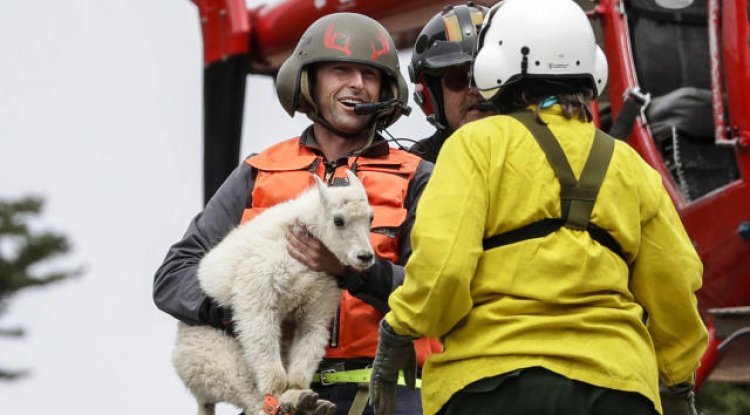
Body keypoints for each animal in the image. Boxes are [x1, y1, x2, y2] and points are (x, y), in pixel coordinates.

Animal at [173, 170, 375, 415]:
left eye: (371, 218)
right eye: (338, 220)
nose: (365, 257)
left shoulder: (317, 306)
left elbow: (307, 349)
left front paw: (299, 394)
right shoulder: (258, 294)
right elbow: (266, 349)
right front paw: (282, 395)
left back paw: (310, 405)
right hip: (216, 356)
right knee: (249, 392)